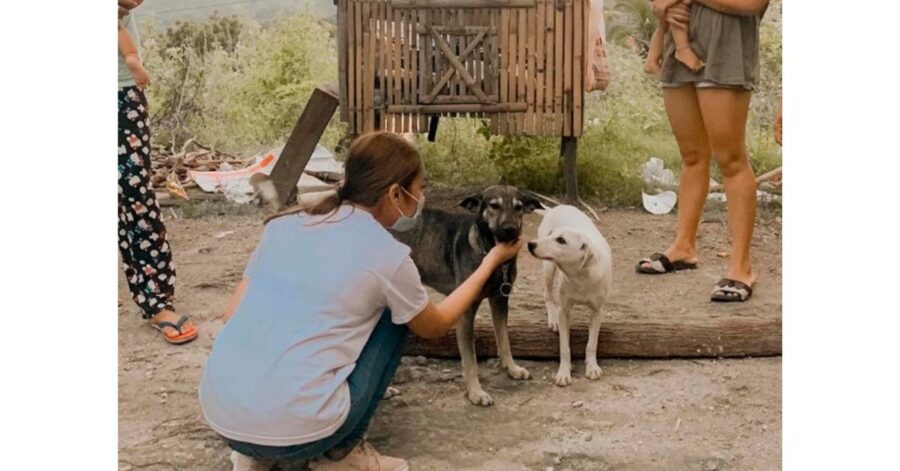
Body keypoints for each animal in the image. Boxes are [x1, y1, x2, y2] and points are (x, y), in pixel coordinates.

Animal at [528, 206, 612, 388]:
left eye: (561, 240)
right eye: (551, 234)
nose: (530, 244)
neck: (580, 276)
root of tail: (555, 207)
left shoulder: (597, 312)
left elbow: (591, 344)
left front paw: (592, 367)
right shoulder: (564, 311)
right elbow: (565, 347)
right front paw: (563, 373)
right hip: (548, 268)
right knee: (547, 295)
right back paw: (552, 320)